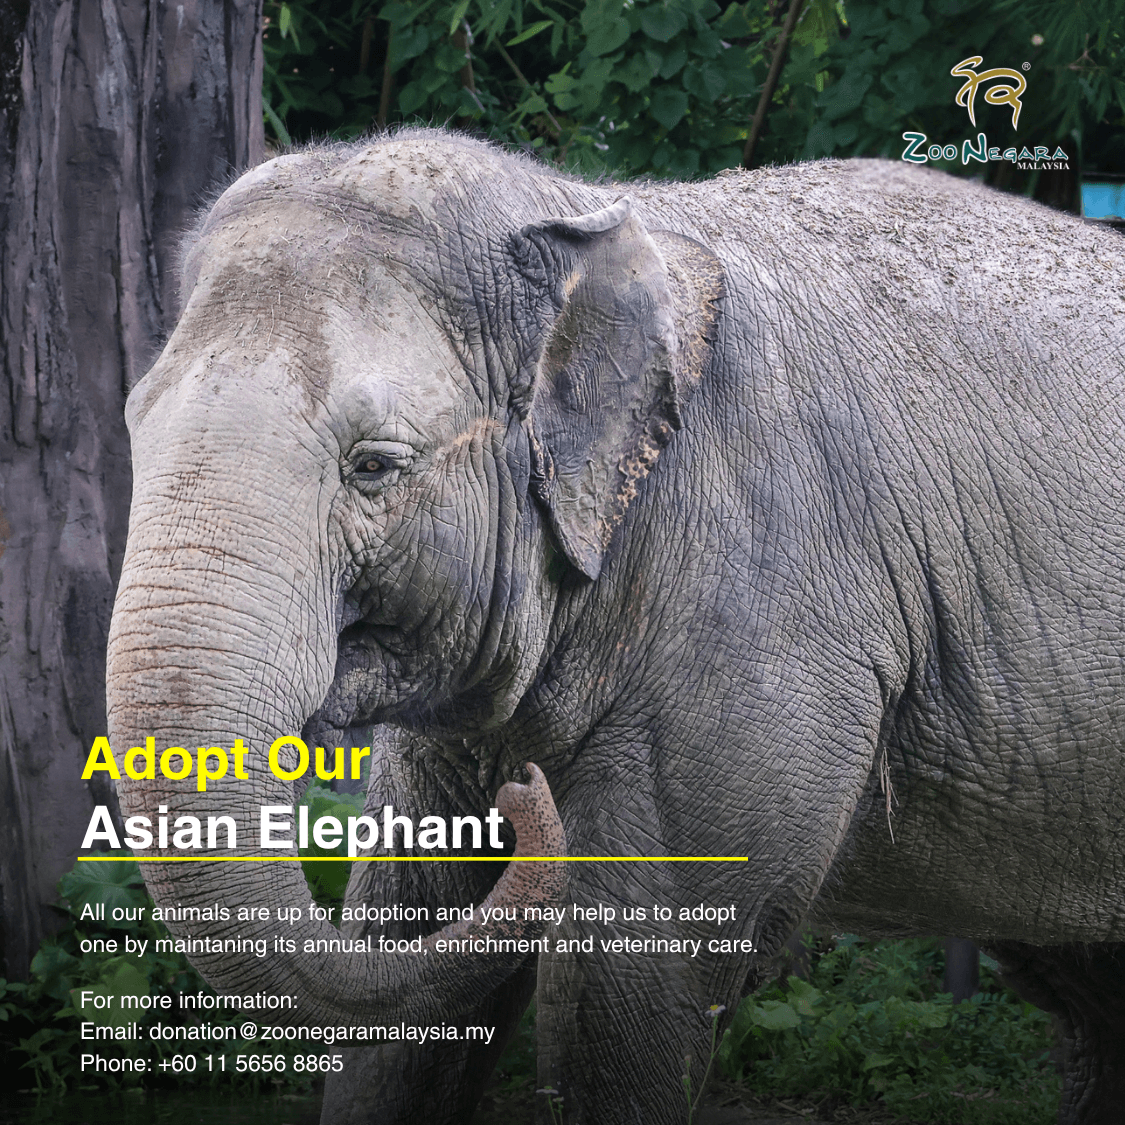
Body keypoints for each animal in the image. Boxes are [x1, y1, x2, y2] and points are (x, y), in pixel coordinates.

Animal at [105, 128, 1125, 1125]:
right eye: (134, 429)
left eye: (374, 466)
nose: (525, 793)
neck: (582, 211)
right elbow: (406, 944)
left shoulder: (764, 599)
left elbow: (631, 1000)